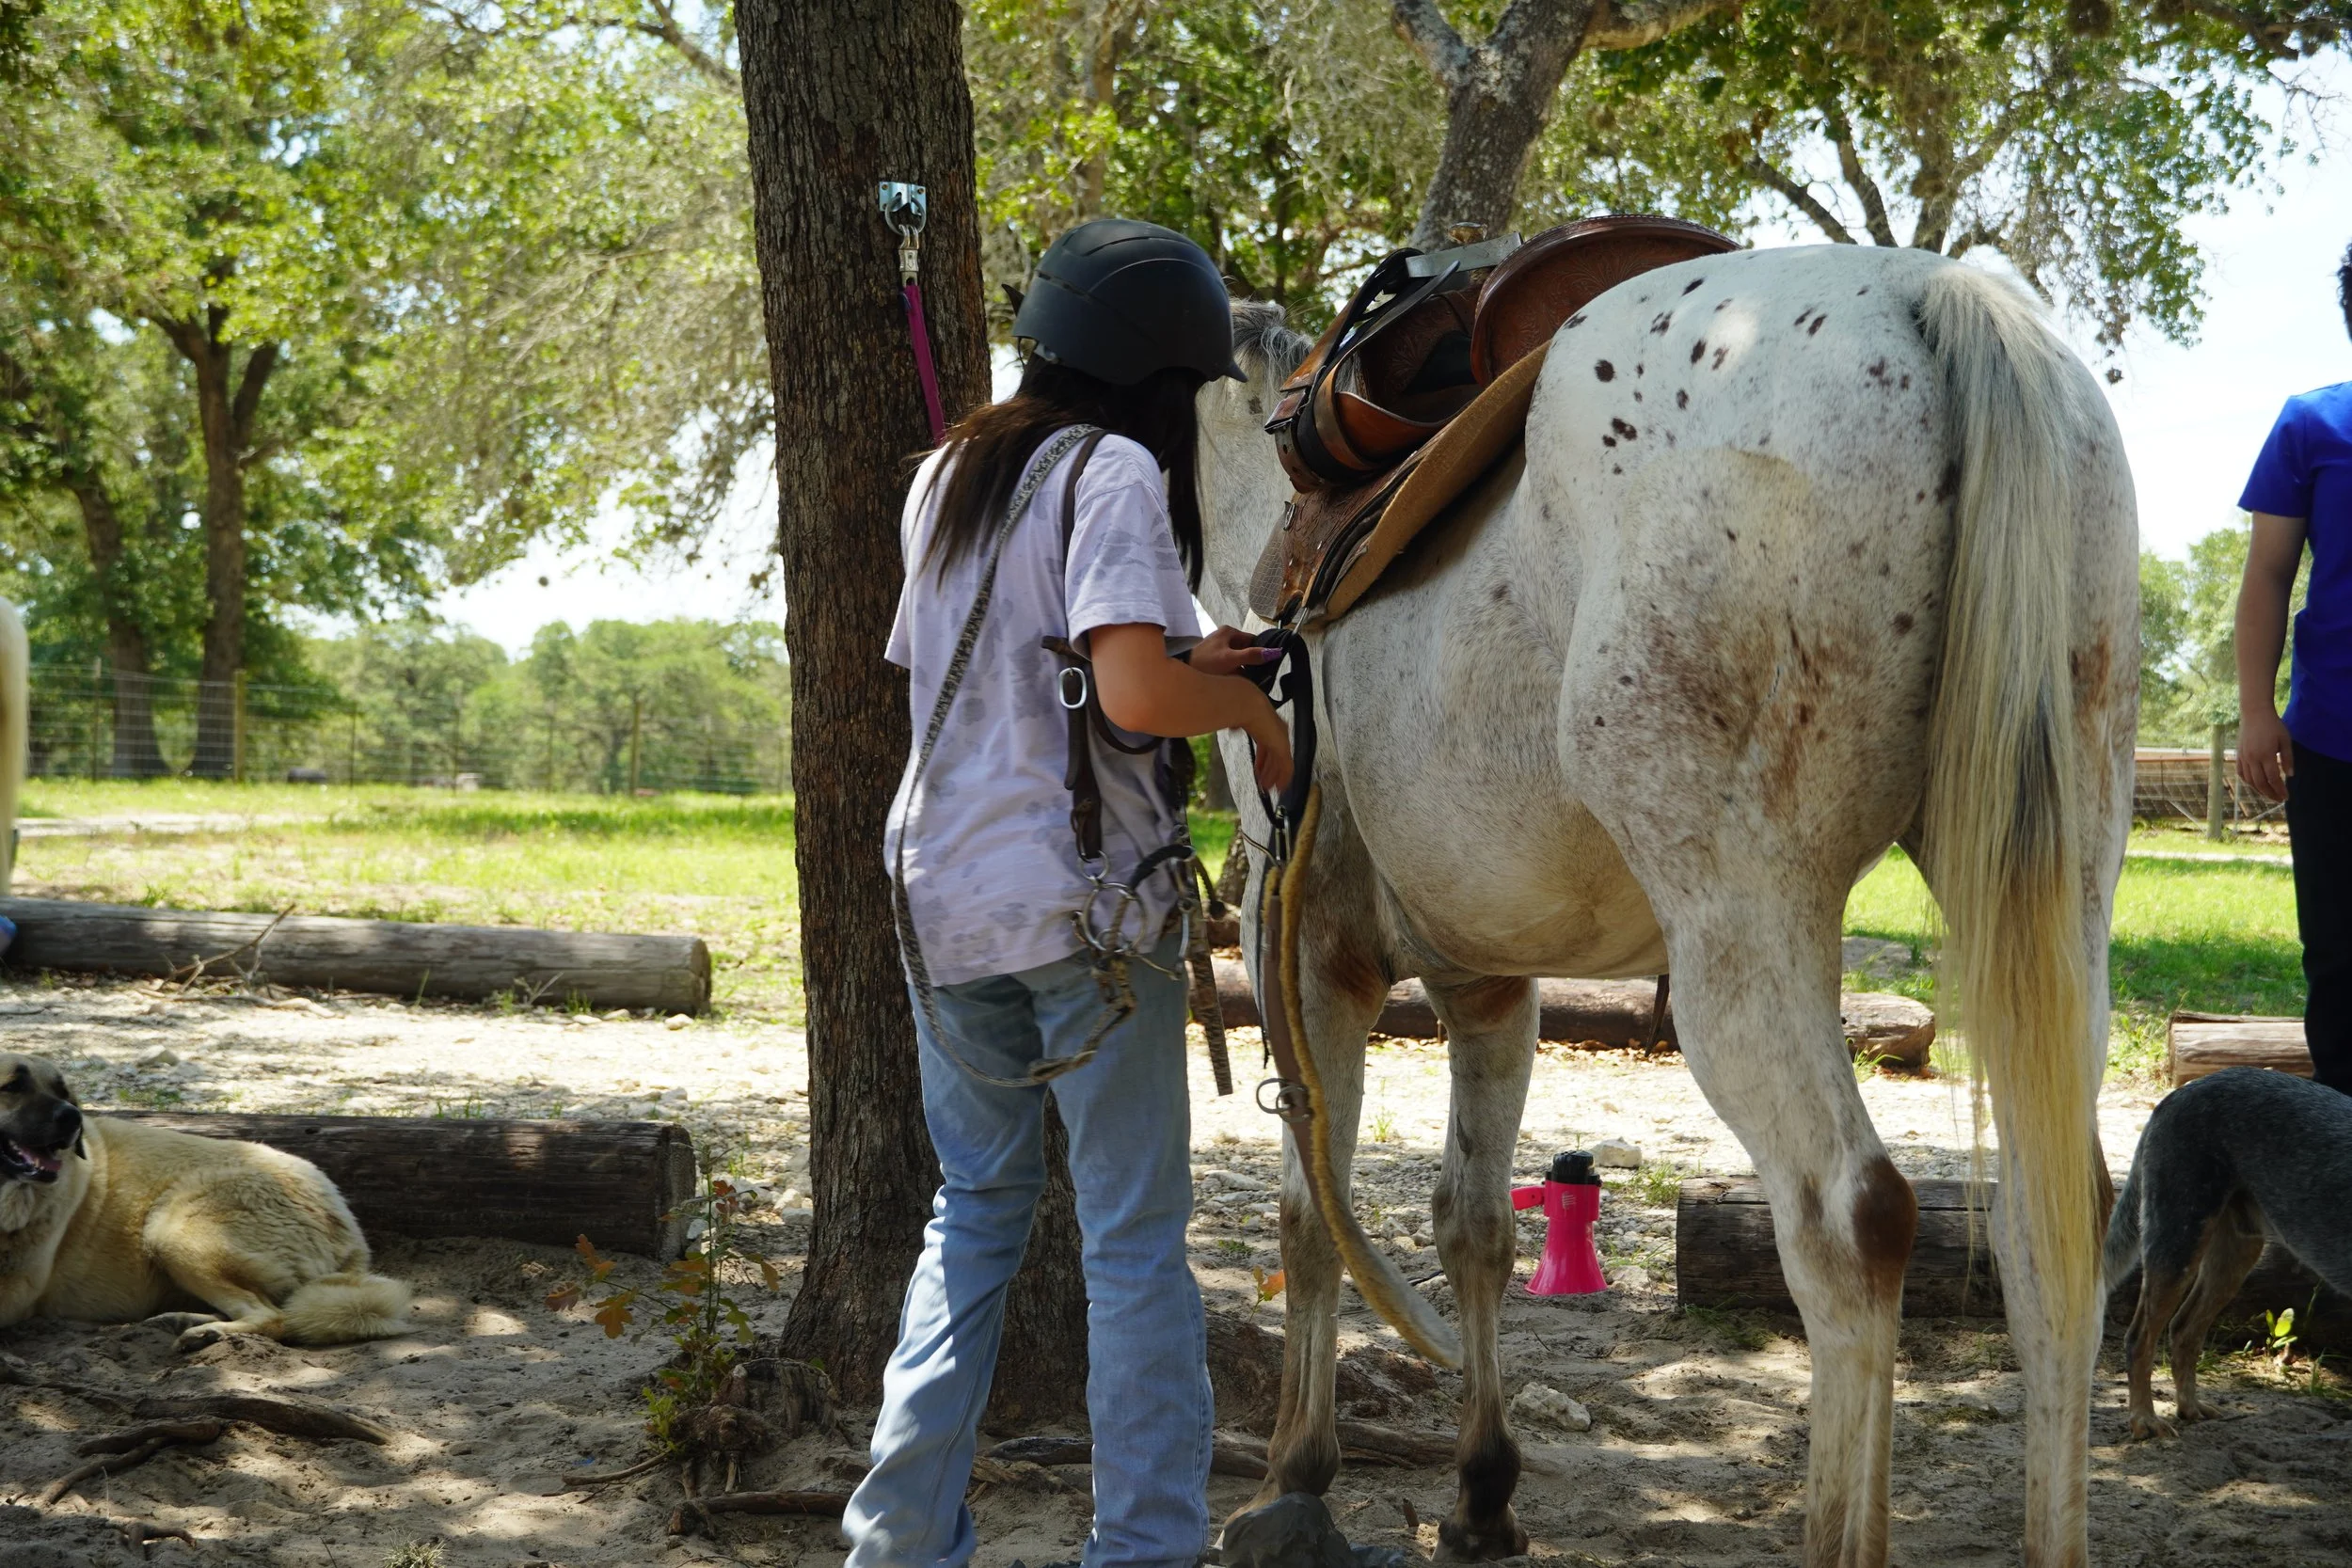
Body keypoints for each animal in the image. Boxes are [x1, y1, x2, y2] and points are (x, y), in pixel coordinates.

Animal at [1197, 245, 2135, 1568]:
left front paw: (1296, 1476)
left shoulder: (1313, 959)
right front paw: (1481, 1491)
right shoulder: (1488, 982)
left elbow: (1307, 1215)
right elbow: (1471, 1222)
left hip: (1740, 938)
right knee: (2055, 1230)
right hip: (2059, 913)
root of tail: (1929, 295)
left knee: (1852, 1222)